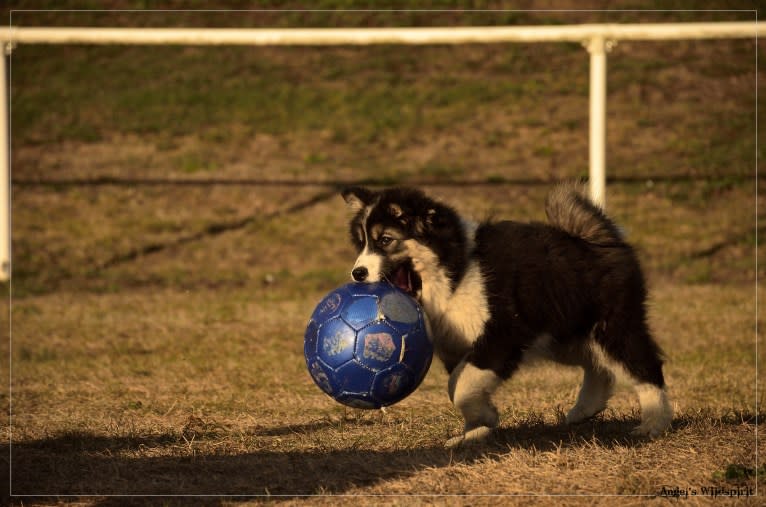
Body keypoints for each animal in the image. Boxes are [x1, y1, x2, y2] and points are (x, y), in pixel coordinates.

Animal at [342, 184, 672, 448]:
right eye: (362, 243)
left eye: (386, 240)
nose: (357, 273)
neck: (457, 269)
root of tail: (595, 236)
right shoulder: (456, 347)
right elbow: (458, 383)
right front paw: (475, 430)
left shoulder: (501, 335)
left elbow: (461, 384)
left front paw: (482, 422)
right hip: (562, 335)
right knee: (598, 365)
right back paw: (586, 409)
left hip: (611, 326)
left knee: (642, 364)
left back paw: (655, 422)